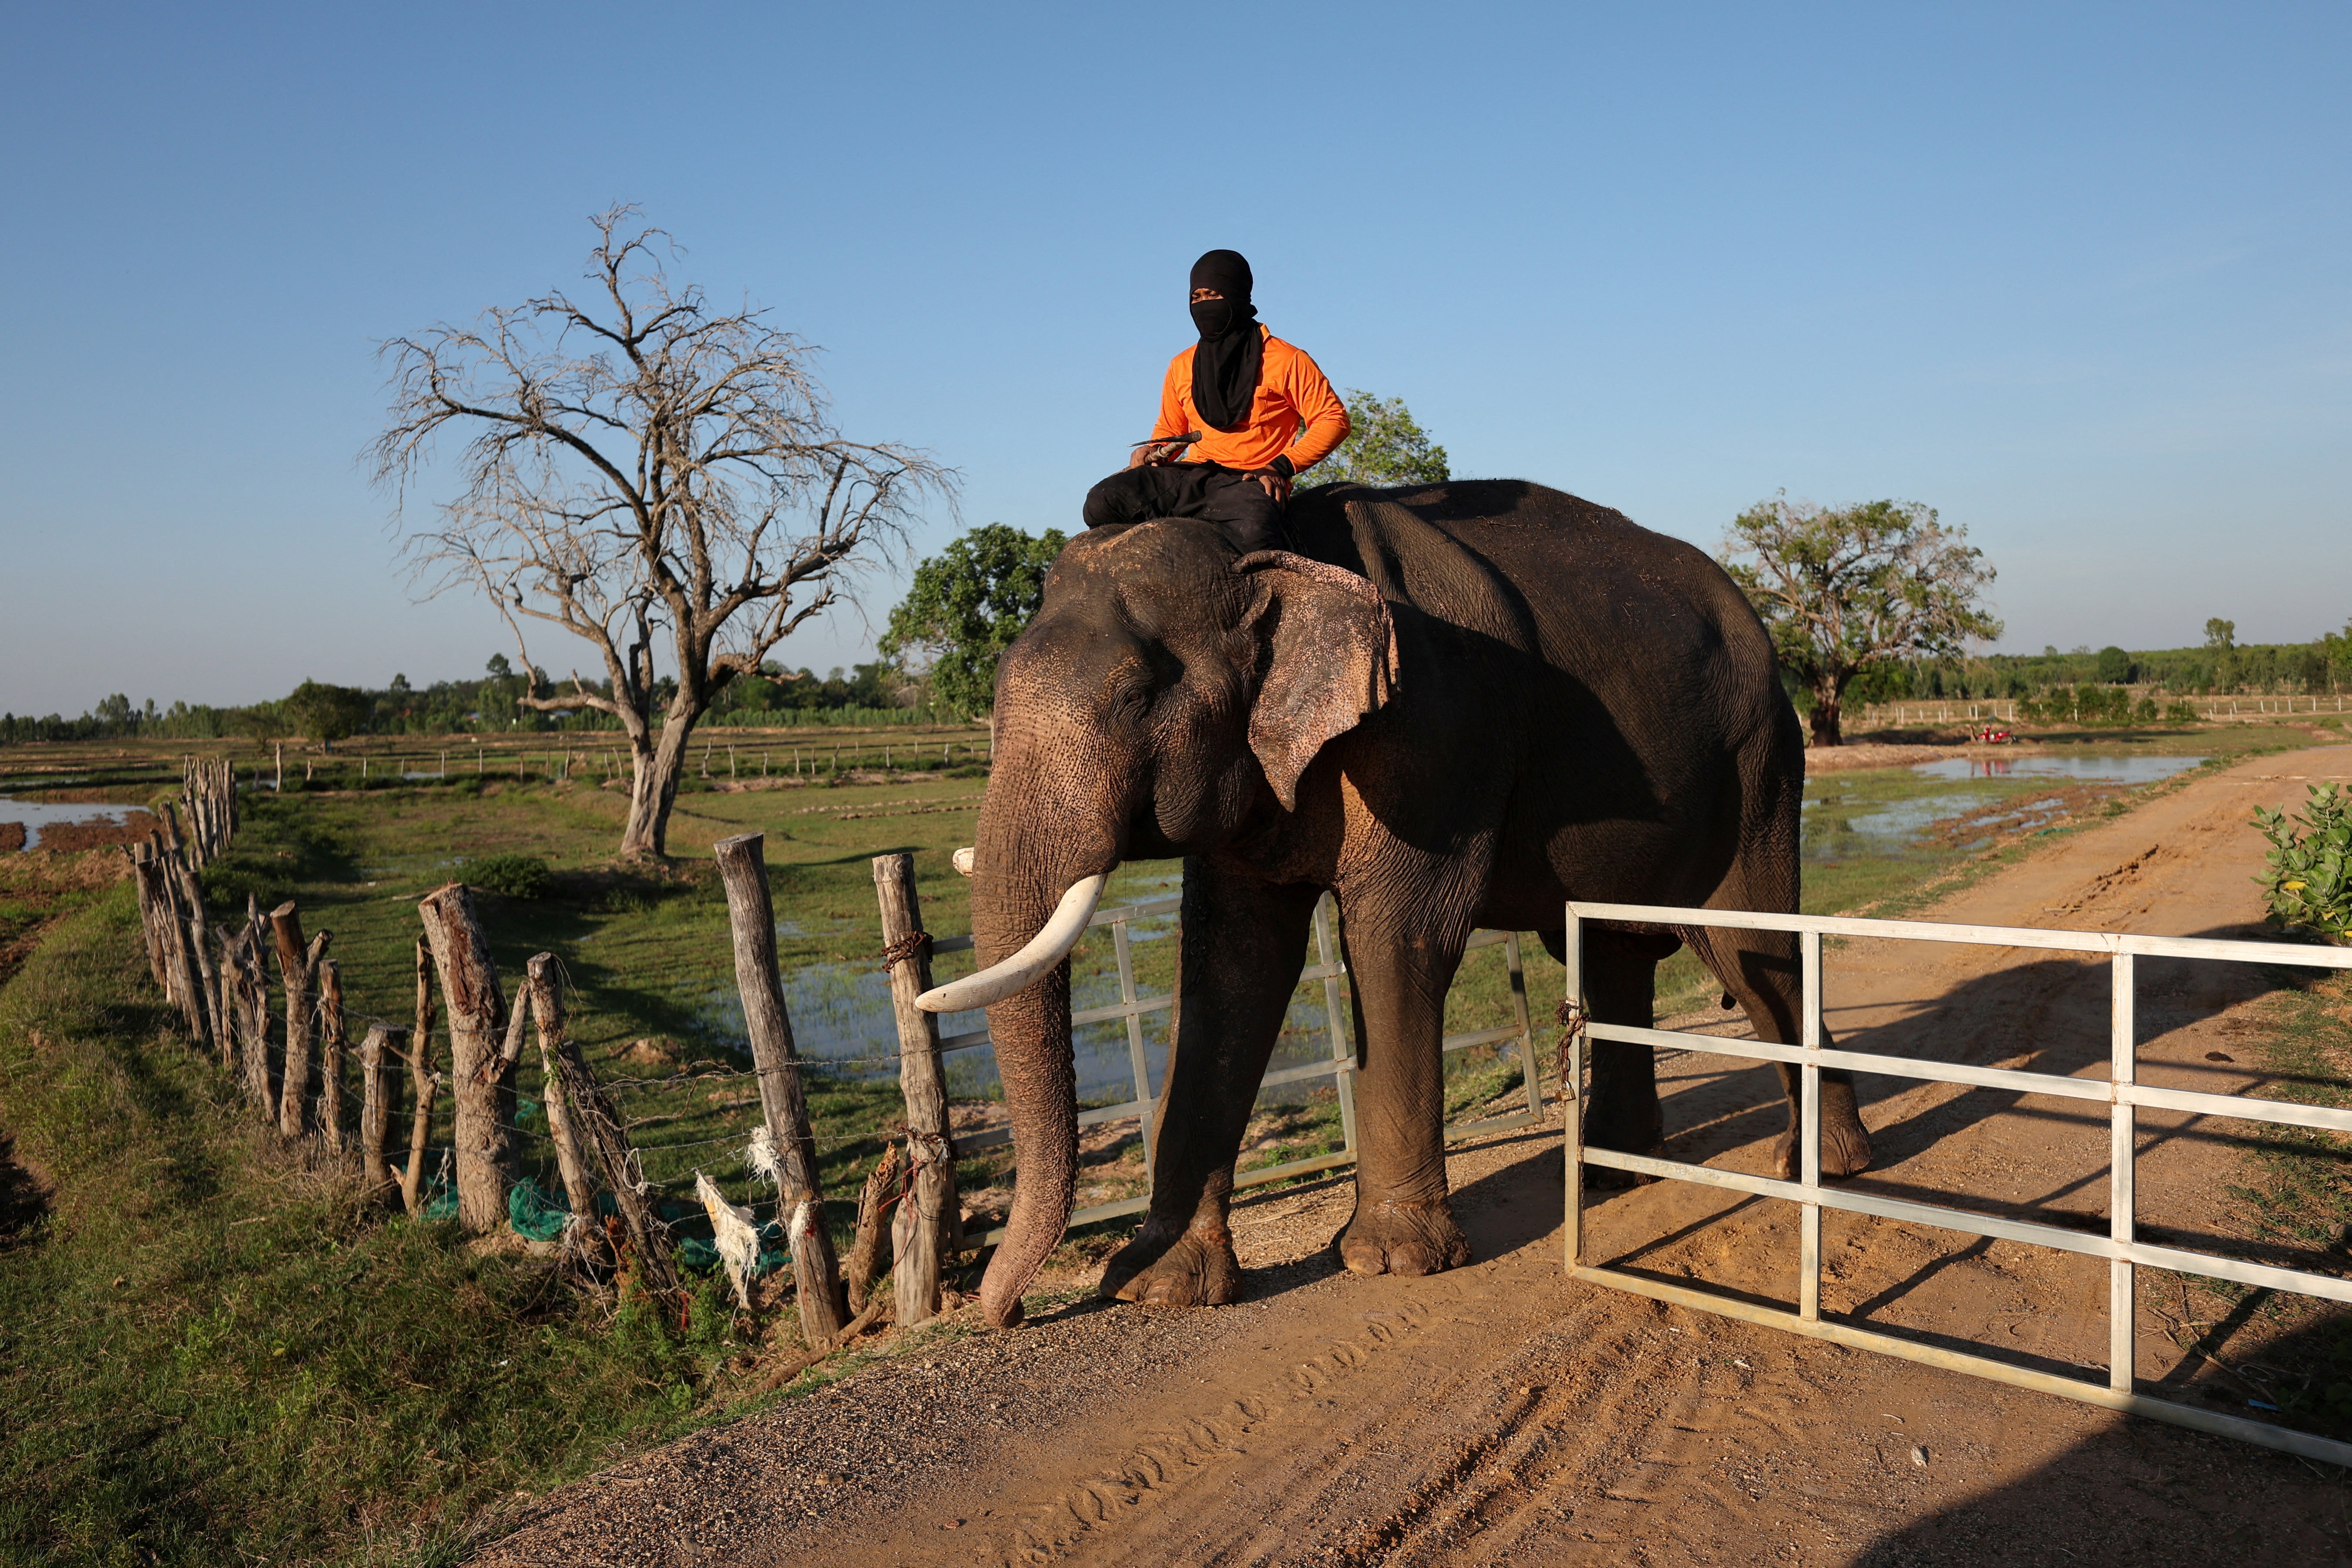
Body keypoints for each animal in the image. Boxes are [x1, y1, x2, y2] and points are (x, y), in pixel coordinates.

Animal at [917, 475, 1872, 1326]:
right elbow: (1232, 964)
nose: (1002, 1314)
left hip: (1756, 767)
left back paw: (1824, 1167)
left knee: (1752, 951)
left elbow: (1400, 936)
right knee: (1616, 949)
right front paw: (1156, 1286)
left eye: (1134, 695)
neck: (1279, 556)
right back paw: (1617, 1173)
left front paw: (1392, 1261)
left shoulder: (1433, 732)